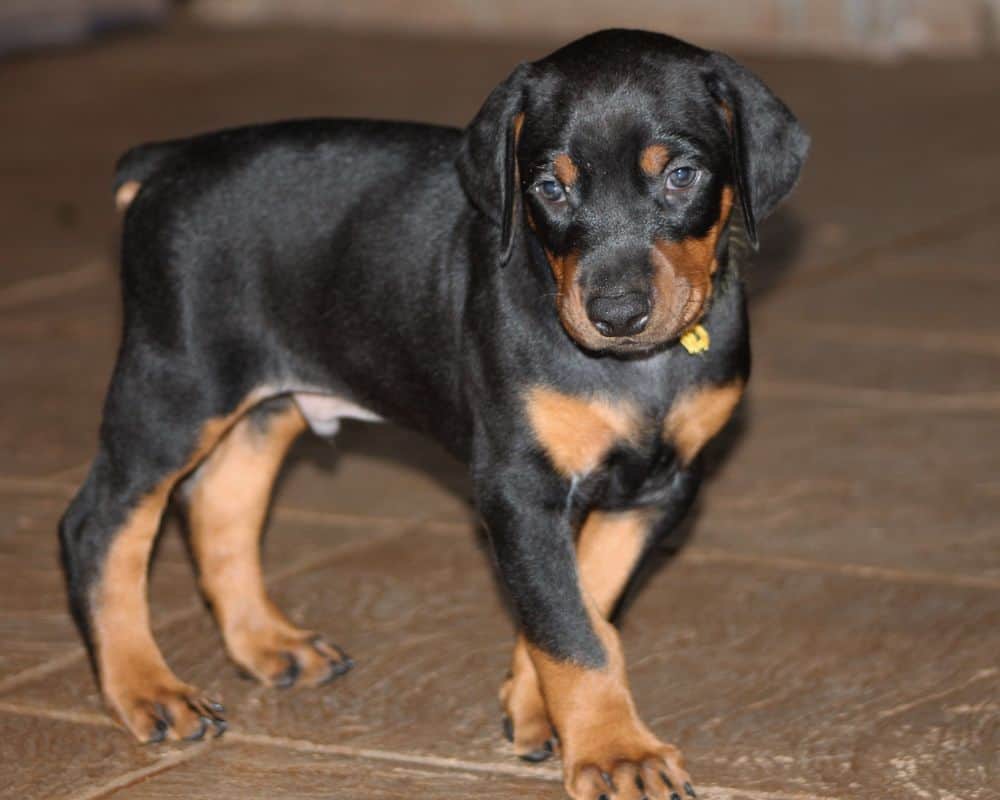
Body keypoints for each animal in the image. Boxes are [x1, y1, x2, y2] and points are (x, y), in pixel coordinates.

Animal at [58, 28, 808, 796]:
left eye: (682, 175)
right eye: (549, 188)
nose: (617, 313)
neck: (639, 370)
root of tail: (167, 161)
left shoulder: (660, 487)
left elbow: (586, 600)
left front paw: (535, 706)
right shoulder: (517, 485)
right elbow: (569, 628)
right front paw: (615, 752)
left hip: (265, 400)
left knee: (219, 503)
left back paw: (269, 644)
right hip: (174, 382)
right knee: (97, 525)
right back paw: (149, 689)